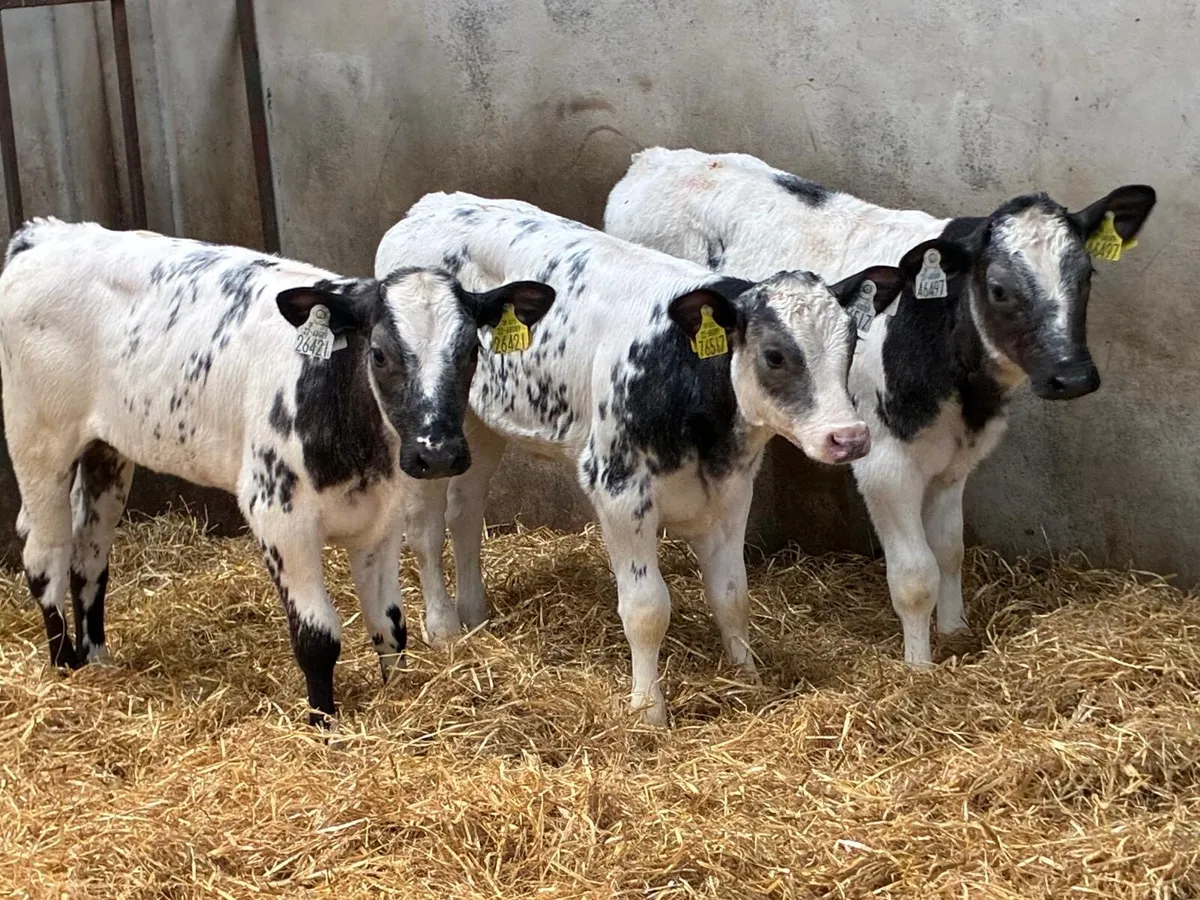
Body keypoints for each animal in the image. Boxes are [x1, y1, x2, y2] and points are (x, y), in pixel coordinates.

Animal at [0, 218, 555, 725]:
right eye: (378, 353)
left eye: (471, 351)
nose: (436, 453)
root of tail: (44, 234)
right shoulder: (277, 514)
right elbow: (317, 637)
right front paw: (325, 728)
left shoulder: (381, 520)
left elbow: (390, 627)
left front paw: (397, 703)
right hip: (38, 441)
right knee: (45, 555)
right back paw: (63, 670)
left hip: (107, 450)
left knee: (89, 557)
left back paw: (97, 661)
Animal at [375, 191, 965, 725]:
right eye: (774, 355)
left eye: (851, 344)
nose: (849, 437)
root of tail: (431, 205)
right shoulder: (617, 489)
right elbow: (646, 609)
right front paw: (648, 710)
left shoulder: (732, 489)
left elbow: (731, 593)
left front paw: (746, 675)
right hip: (423, 433)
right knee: (425, 527)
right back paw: (444, 628)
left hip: (481, 423)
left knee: (465, 513)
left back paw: (474, 615)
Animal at [604, 146, 1157, 667]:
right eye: (999, 289)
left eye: (1087, 275)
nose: (1073, 375)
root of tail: (650, 160)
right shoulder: (885, 462)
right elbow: (915, 575)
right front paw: (920, 668)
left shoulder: (955, 461)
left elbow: (950, 550)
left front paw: (955, 633)